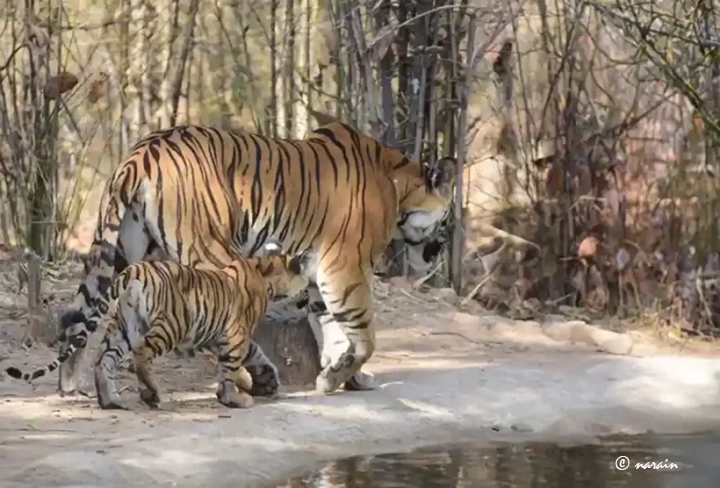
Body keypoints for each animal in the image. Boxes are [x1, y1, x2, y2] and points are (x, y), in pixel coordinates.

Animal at [54, 120, 456, 398]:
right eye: (449, 222)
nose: (439, 257)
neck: (398, 186)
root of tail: (141, 152)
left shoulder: (318, 276)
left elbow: (334, 331)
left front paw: (349, 377)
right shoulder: (345, 269)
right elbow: (363, 336)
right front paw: (334, 379)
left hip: (120, 253)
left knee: (76, 317)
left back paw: (73, 385)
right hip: (212, 250)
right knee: (220, 317)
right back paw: (258, 377)